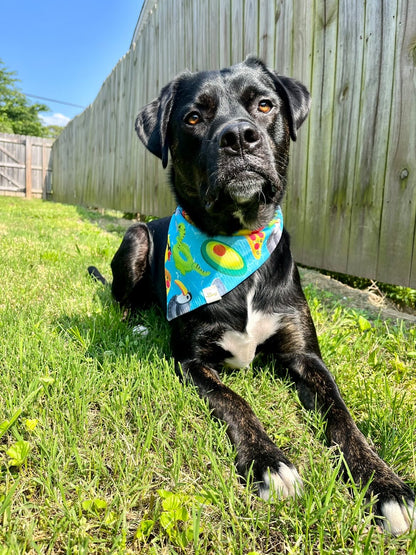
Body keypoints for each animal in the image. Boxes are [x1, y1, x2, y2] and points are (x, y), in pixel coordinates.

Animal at [90, 56, 412, 536]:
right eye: (193, 117)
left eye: (264, 105)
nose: (239, 136)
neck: (235, 247)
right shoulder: (191, 362)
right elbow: (235, 401)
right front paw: (270, 462)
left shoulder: (305, 355)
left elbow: (342, 415)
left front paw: (385, 483)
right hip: (136, 237)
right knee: (123, 299)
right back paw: (137, 324)